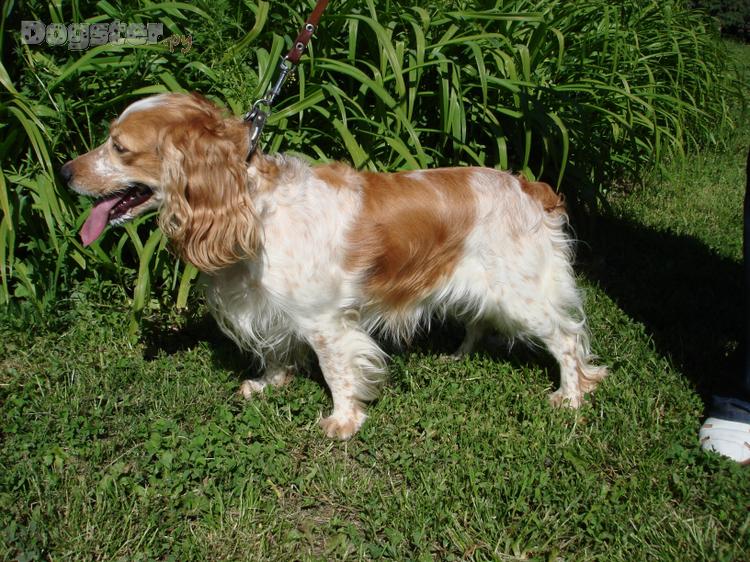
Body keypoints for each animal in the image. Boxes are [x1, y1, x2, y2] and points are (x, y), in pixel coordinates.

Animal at [61, 93, 607, 439]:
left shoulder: (326, 321)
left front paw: (343, 423)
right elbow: (276, 352)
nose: (64, 172)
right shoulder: (271, 309)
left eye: (119, 148)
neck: (253, 207)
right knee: (480, 322)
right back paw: (458, 356)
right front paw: (268, 384)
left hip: (524, 294)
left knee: (567, 340)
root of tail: (530, 187)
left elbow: (337, 371)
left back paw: (571, 396)